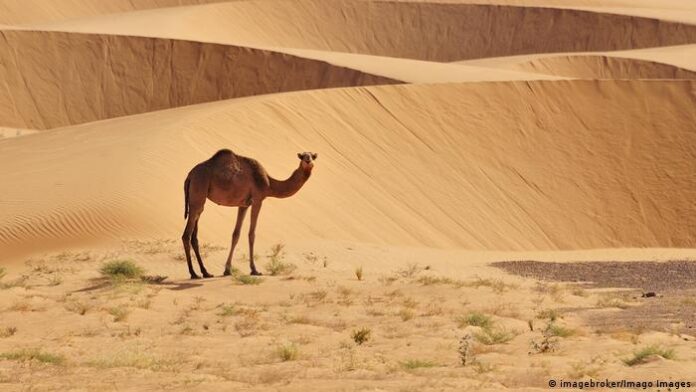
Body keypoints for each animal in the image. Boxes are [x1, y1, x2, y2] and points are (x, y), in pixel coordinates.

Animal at [182, 148, 318, 278]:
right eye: (303, 156)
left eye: (312, 156)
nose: (308, 160)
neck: (269, 183)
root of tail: (189, 176)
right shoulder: (258, 200)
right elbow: (251, 234)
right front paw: (254, 270)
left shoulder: (244, 205)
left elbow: (236, 235)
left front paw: (227, 270)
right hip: (198, 192)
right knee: (186, 235)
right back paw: (193, 274)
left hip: (198, 200)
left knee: (194, 235)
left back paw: (205, 273)